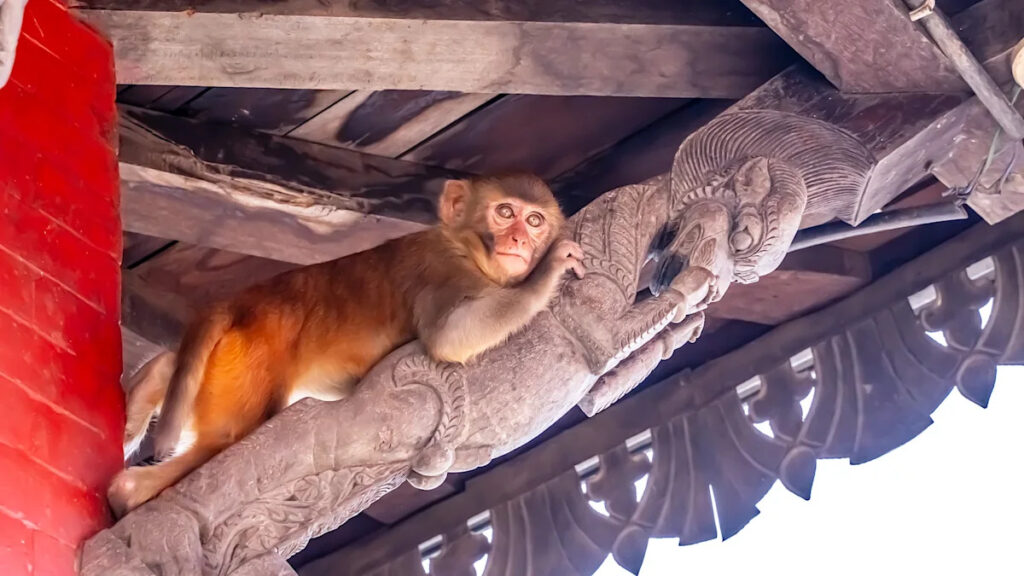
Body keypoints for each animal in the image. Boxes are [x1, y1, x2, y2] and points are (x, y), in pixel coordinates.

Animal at [108, 174, 584, 517]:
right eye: (505, 212)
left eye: (535, 220)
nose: (520, 241)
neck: (464, 244)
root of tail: (240, 301)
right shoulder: (443, 268)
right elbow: (449, 337)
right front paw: (547, 273)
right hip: (251, 357)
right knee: (227, 437)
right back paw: (131, 491)